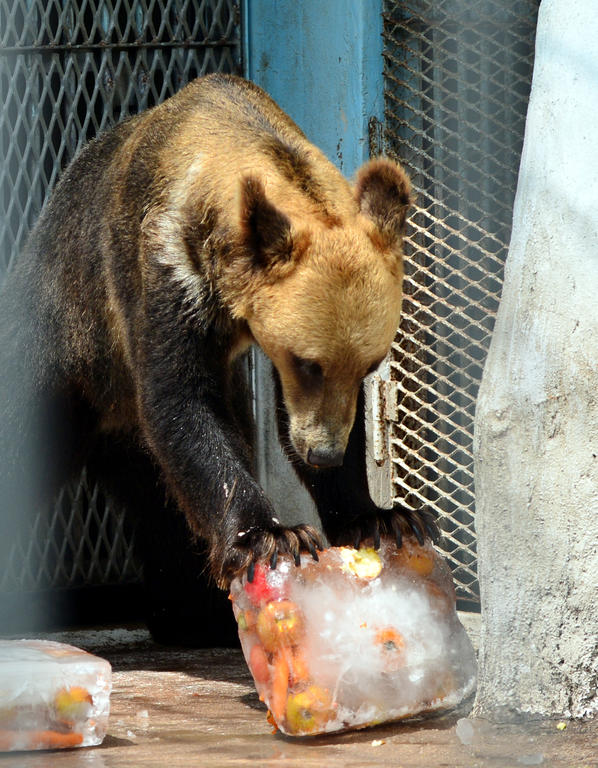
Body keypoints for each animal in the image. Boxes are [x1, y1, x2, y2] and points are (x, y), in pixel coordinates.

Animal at [0, 70, 436, 636]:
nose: (322, 452)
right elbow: (183, 403)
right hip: (60, 341)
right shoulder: (165, 269)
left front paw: (383, 518)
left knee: (159, 505)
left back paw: (190, 613)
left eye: (369, 364)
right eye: (308, 362)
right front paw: (272, 536)